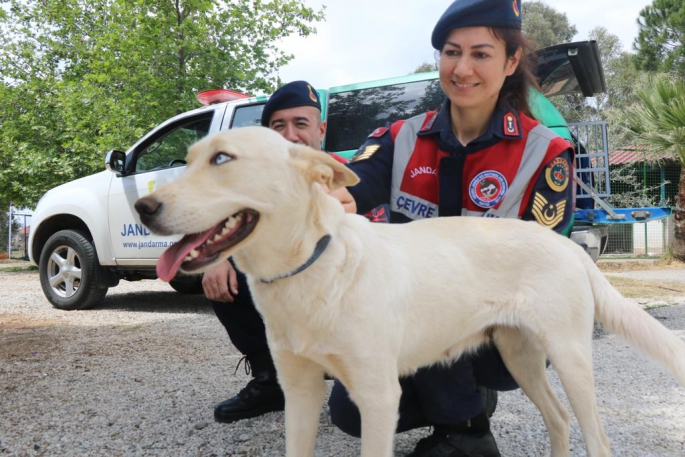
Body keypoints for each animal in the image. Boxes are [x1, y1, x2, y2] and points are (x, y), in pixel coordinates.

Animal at [135, 126, 684, 456]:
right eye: (188, 160)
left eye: (223, 159)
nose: (143, 207)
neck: (312, 268)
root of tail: (562, 242)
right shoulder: (301, 391)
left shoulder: (378, 396)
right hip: (520, 357)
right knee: (559, 419)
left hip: (568, 358)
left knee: (595, 435)